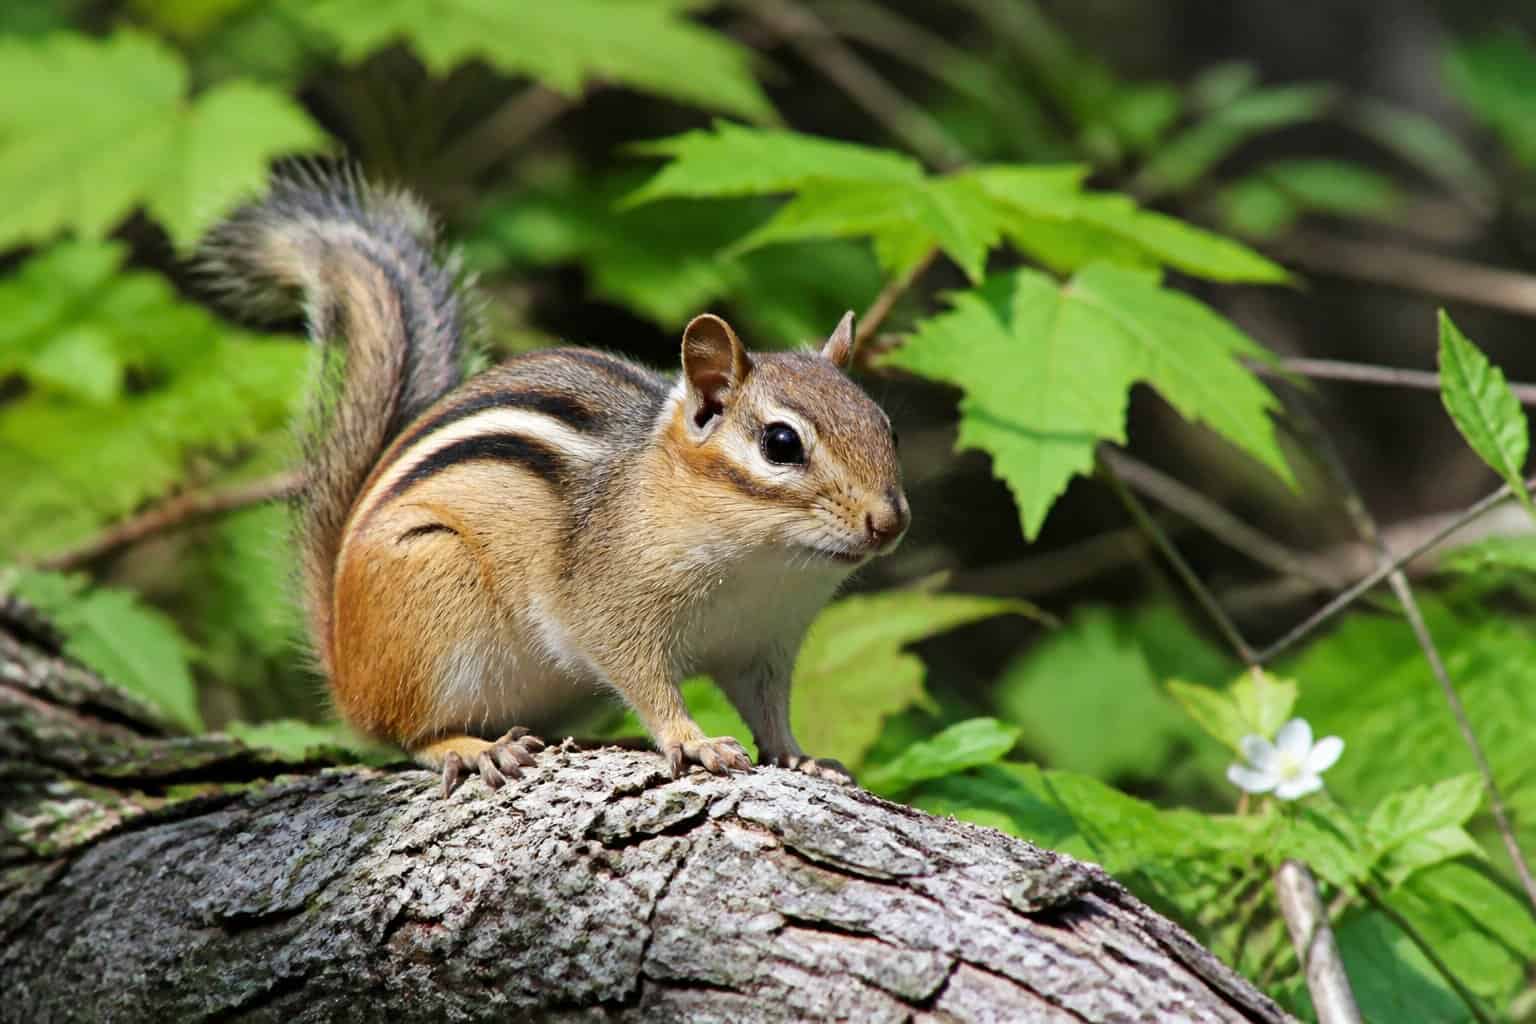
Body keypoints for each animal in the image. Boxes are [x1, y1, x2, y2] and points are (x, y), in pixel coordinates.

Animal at [201, 169, 910, 797]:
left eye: (888, 427)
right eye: (781, 444)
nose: (891, 522)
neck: (761, 568)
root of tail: (345, 667)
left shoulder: (765, 643)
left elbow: (770, 710)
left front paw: (800, 756)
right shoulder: (612, 608)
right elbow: (648, 684)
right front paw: (694, 740)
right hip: (433, 593)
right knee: (408, 733)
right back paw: (474, 747)